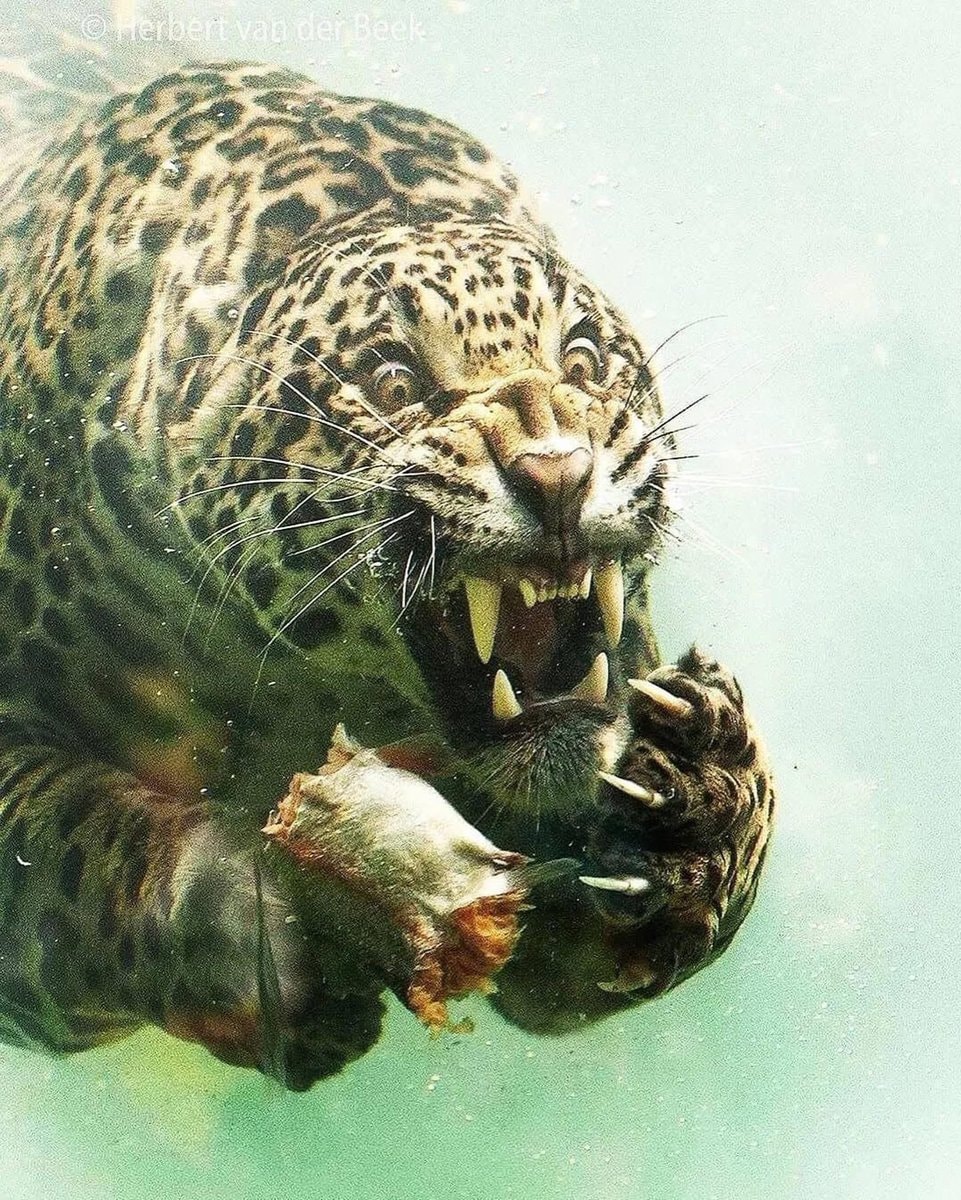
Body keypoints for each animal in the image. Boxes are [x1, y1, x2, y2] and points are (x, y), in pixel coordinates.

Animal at [0, 59, 775, 1090]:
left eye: (581, 359)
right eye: (394, 381)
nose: (559, 473)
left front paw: (699, 804)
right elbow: (74, 848)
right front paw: (239, 923)